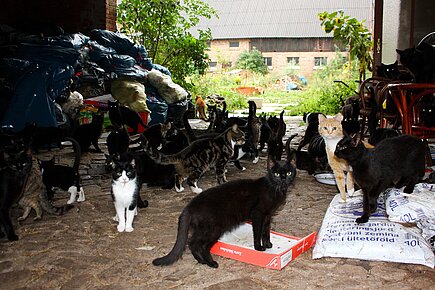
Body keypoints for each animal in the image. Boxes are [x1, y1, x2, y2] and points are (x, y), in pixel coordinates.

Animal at [152, 139, 298, 268]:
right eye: (277, 174)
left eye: (289, 173)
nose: (284, 180)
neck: (274, 188)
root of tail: (189, 206)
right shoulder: (258, 214)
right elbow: (257, 233)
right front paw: (259, 248)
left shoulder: (268, 216)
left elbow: (266, 232)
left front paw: (268, 245)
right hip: (213, 229)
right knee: (197, 244)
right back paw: (210, 263)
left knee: (193, 243)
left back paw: (202, 261)